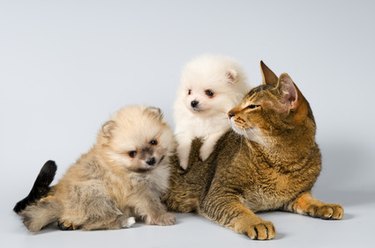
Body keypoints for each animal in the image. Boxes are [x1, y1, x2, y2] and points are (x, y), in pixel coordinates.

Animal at [21, 105, 177, 232]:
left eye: (153, 142)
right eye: (132, 153)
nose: (150, 160)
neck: (117, 163)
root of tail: (61, 204)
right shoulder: (138, 191)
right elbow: (151, 205)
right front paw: (163, 217)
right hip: (95, 191)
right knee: (94, 222)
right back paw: (125, 221)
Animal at [166, 61, 346, 239]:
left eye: (252, 106)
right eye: (241, 102)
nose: (229, 113)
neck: (282, 163)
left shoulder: (293, 196)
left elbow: (308, 200)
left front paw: (324, 205)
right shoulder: (219, 193)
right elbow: (239, 211)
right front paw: (256, 223)